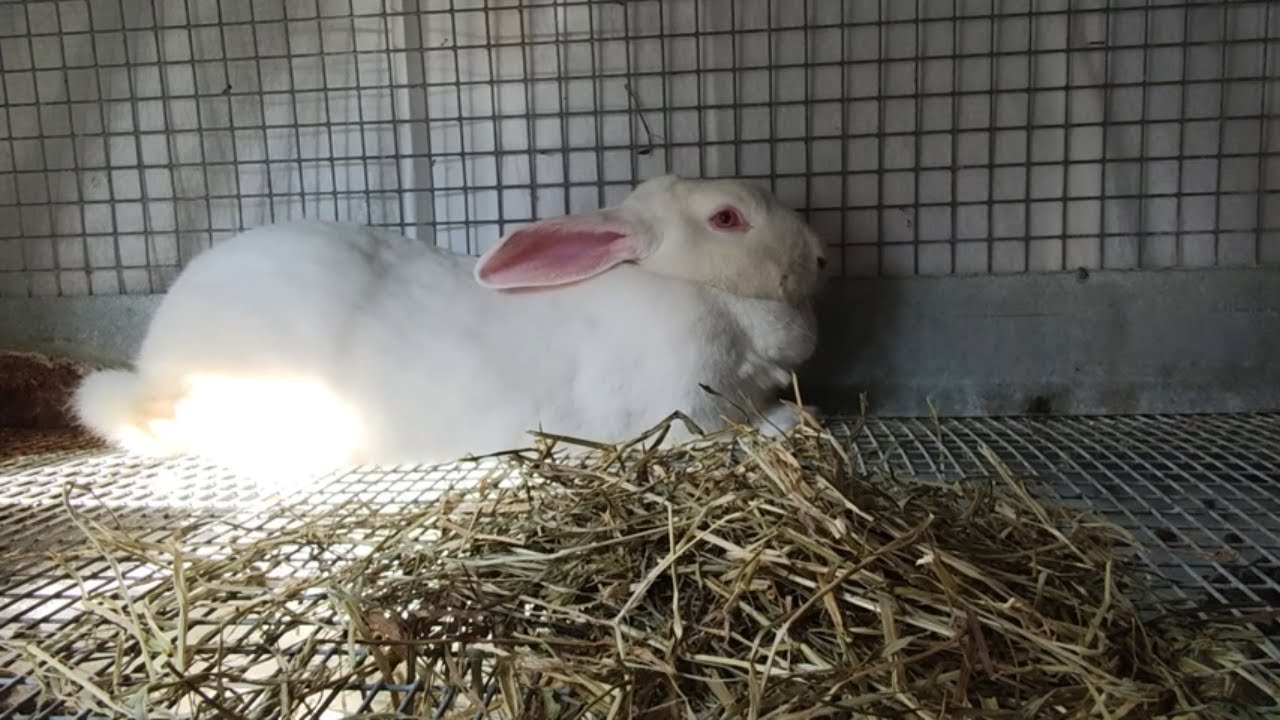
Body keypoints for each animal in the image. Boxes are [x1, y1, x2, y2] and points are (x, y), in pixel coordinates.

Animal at [70, 174, 828, 480]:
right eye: (727, 217)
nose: (822, 257)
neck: (703, 291)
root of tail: (158, 368)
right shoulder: (688, 414)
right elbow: (742, 427)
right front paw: (792, 420)